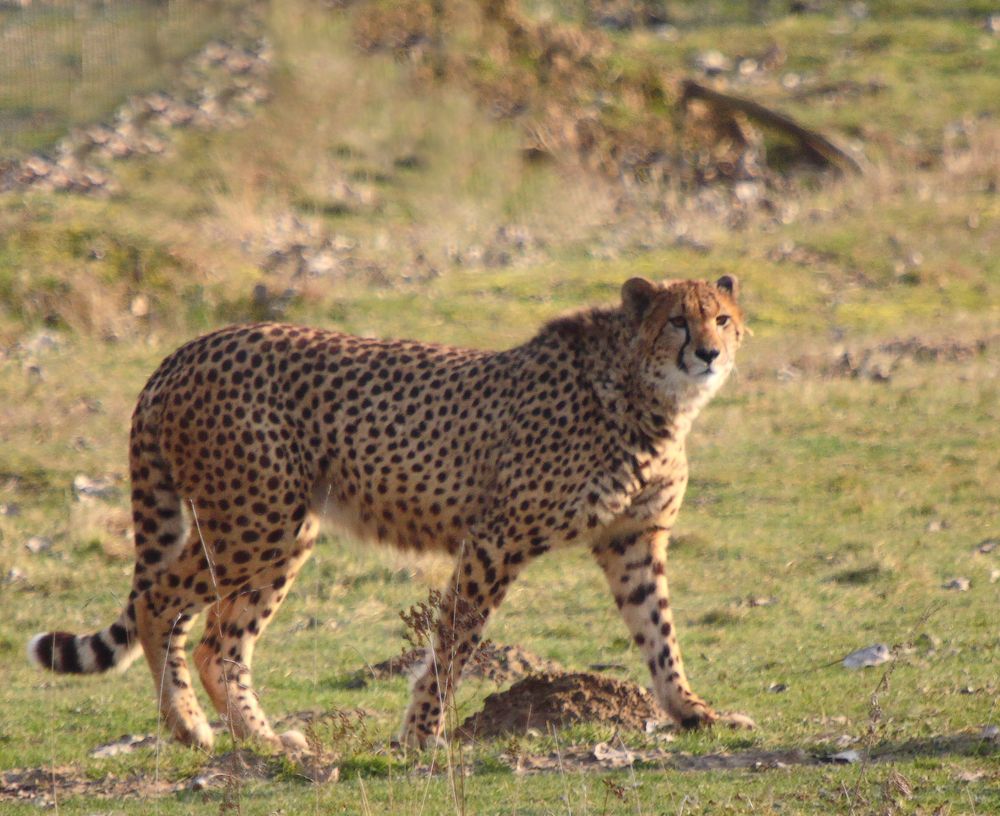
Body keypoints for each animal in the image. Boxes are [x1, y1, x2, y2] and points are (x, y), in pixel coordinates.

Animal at [27, 276, 748, 752]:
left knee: (217, 643)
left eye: (721, 318)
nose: (708, 353)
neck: (648, 397)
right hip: (250, 521)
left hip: (285, 532)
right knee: (158, 604)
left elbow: (659, 633)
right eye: (677, 321)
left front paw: (694, 713)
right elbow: (455, 639)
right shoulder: (496, 539)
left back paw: (266, 741)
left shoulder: (634, 540)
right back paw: (188, 727)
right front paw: (422, 734)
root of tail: (188, 348)